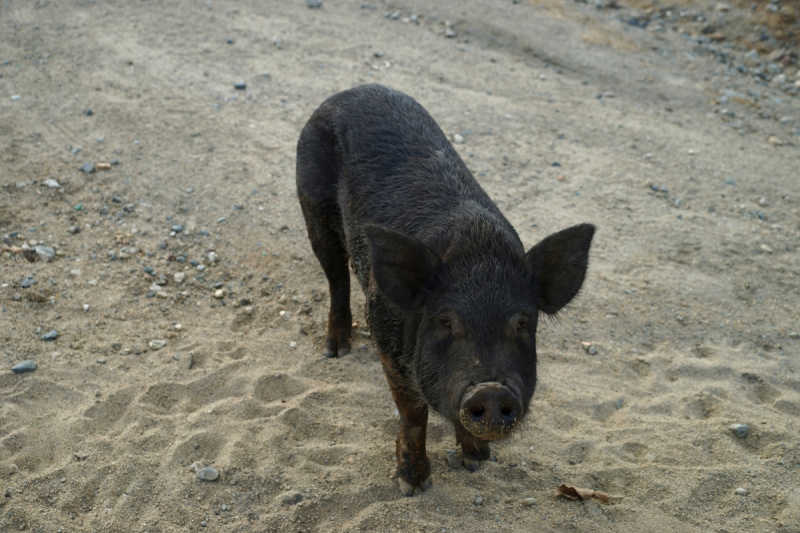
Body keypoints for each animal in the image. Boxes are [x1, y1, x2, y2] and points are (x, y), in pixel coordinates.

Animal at [296, 83, 592, 494]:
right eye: (445, 321)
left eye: (522, 324)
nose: (491, 390)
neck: (477, 251)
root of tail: (354, 89)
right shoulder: (385, 336)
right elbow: (413, 414)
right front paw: (413, 485)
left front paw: (477, 461)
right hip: (311, 203)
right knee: (336, 277)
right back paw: (336, 351)